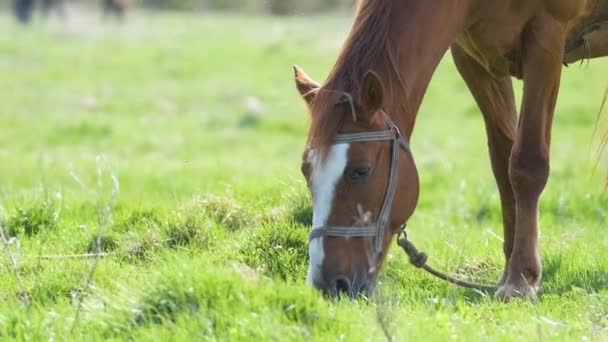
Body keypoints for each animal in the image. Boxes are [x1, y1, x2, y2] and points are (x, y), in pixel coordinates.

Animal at [296, 0, 608, 300]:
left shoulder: (546, 40)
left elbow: (526, 164)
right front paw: (508, 272)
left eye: (360, 171)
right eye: (306, 173)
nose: (326, 284)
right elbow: (503, 163)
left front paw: (521, 279)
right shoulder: (474, 58)